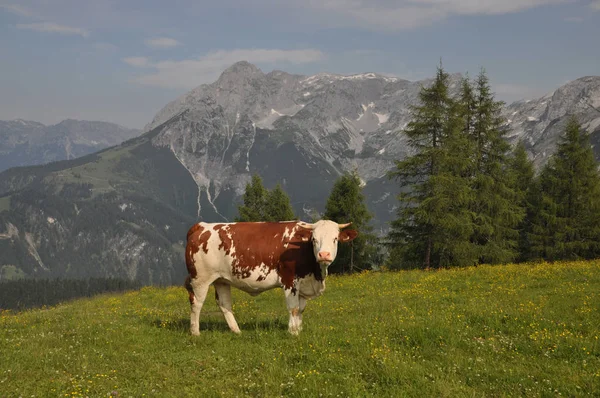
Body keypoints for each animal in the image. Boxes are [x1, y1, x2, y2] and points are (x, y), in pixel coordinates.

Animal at [184, 221, 356, 336]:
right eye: (314, 239)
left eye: (335, 239)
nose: (324, 255)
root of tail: (201, 226)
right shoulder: (289, 281)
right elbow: (293, 308)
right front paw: (293, 332)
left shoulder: (304, 284)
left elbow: (301, 309)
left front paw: (299, 329)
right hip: (200, 278)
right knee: (196, 303)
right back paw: (195, 332)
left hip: (221, 280)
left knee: (224, 304)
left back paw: (237, 331)